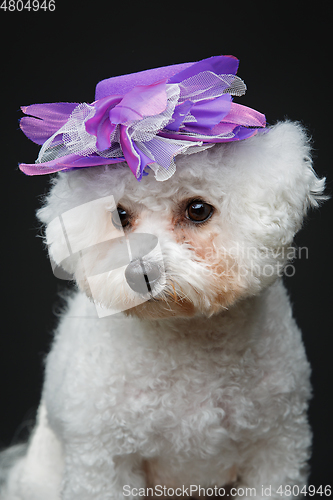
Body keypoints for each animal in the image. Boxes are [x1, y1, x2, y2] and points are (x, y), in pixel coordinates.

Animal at [0, 56, 324, 498]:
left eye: (198, 210)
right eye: (119, 215)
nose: (140, 273)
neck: (183, 339)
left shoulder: (276, 451)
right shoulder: (104, 462)